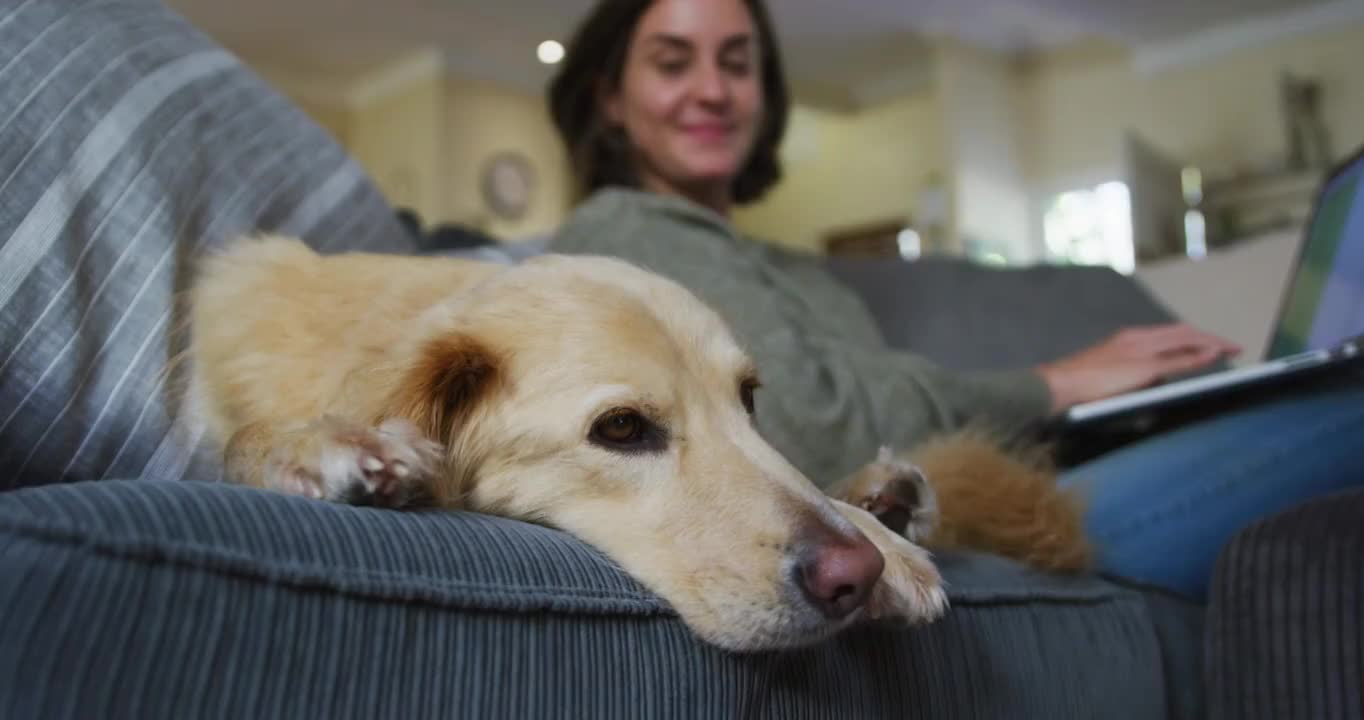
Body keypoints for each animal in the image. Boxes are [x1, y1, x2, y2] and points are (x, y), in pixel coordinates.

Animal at [181, 235, 949, 651]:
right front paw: (320, 442)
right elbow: (244, 439)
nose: (856, 574)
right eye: (621, 428)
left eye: (748, 399)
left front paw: (879, 537)